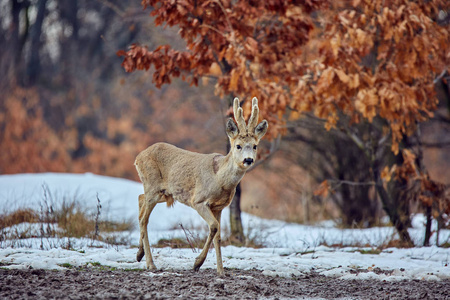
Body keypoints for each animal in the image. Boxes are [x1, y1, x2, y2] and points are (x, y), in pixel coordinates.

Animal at [134, 97, 268, 276]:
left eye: (255, 146)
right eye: (238, 145)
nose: (248, 160)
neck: (220, 180)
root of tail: (138, 157)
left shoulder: (219, 207)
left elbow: (218, 235)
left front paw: (221, 271)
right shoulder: (198, 201)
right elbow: (213, 227)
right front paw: (197, 263)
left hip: (164, 193)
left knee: (140, 199)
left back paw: (139, 254)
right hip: (153, 186)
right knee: (144, 218)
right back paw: (150, 264)